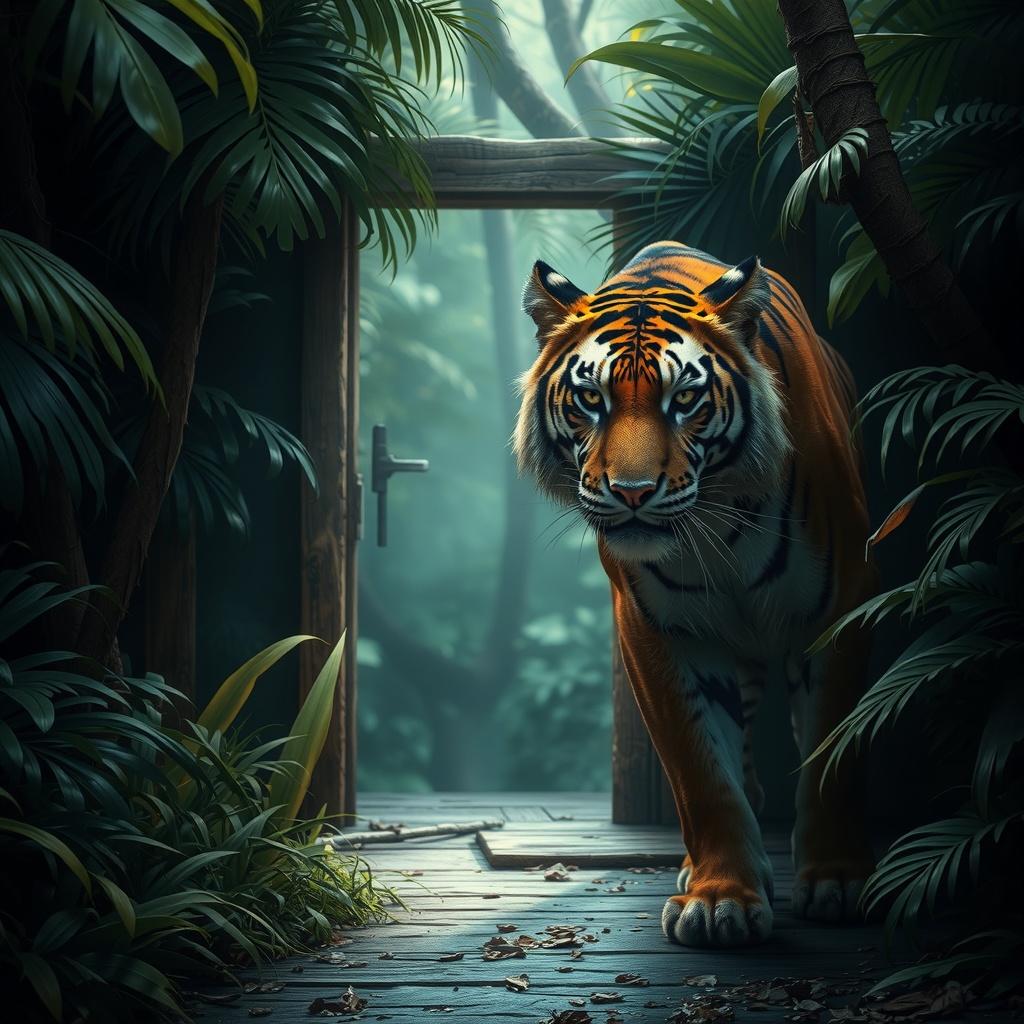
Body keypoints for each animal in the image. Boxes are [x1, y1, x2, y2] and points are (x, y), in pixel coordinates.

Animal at [515, 240, 877, 948]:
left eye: (684, 398)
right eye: (590, 398)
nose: (631, 492)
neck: (718, 525)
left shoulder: (841, 609)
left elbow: (832, 752)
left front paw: (839, 881)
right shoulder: (662, 631)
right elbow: (703, 773)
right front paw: (721, 899)